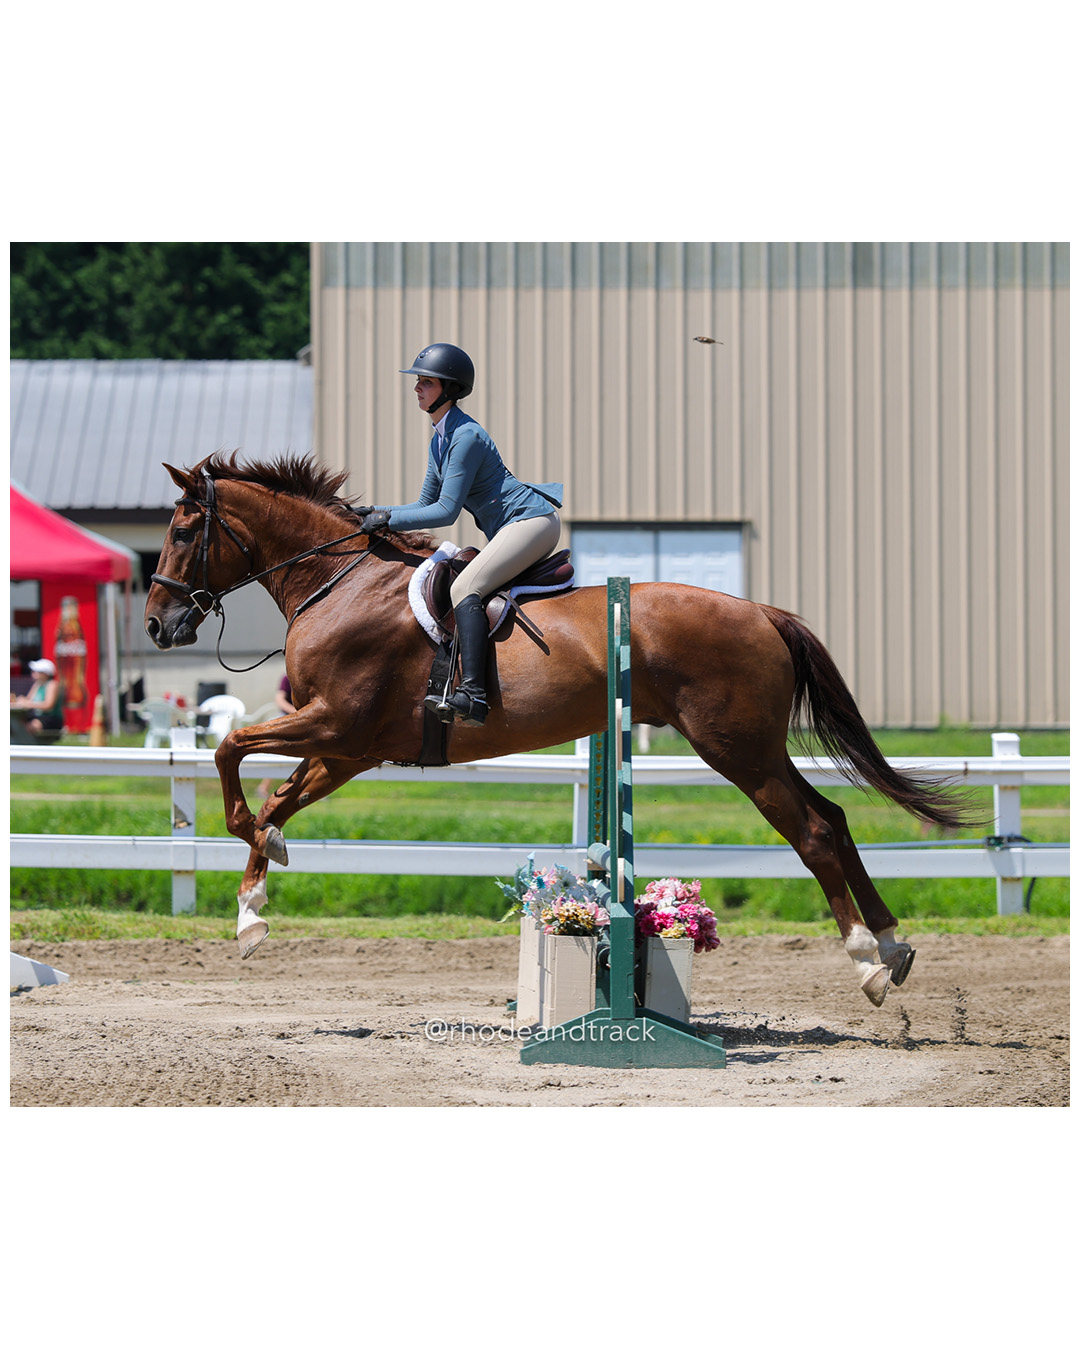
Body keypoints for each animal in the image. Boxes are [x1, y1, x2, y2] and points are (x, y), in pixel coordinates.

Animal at [144, 451, 973, 1006]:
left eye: (184, 530)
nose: (156, 625)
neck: (336, 582)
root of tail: (761, 612)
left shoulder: (331, 724)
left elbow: (230, 753)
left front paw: (248, 852)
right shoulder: (348, 747)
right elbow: (278, 798)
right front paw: (252, 911)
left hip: (737, 750)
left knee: (815, 831)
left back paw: (868, 960)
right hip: (756, 748)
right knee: (834, 817)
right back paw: (893, 943)